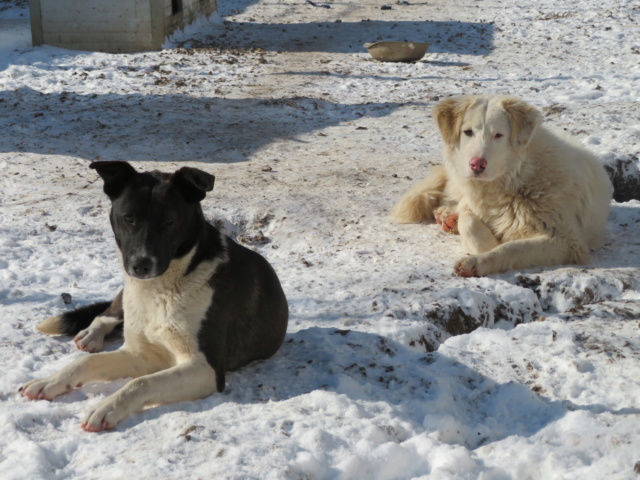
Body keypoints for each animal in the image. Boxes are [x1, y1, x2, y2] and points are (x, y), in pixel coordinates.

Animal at [20, 161, 288, 432]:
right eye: (128, 218)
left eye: (169, 220)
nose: (141, 265)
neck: (165, 286)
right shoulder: (142, 354)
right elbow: (85, 363)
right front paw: (49, 381)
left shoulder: (205, 368)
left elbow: (141, 382)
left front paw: (106, 407)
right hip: (124, 296)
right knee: (107, 314)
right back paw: (91, 334)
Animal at [392, 94, 612, 276]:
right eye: (468, 132)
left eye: (498, 135)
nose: (477, 164)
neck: (517, 179)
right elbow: (468, 221)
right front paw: (481, 242)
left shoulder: (567, 242)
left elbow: (511, 248)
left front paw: (477, 262)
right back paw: (446, 216)